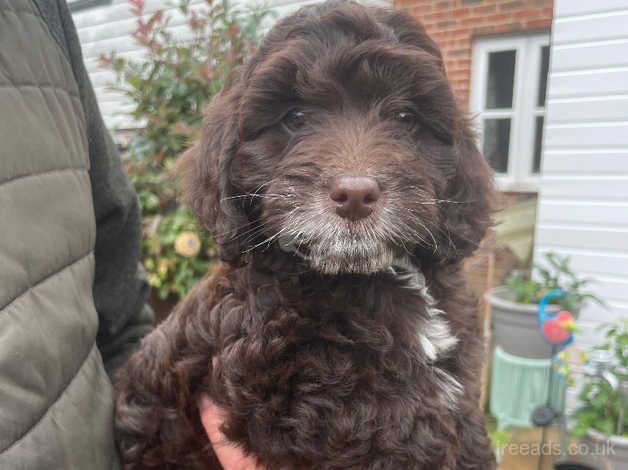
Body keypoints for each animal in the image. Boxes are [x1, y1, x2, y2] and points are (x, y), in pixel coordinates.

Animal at [113, 1, 496, 468]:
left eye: (406, 118)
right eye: (295, 118)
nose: (355, 194)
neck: (365, 273)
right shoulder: (274, 375)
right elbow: (382, 413)